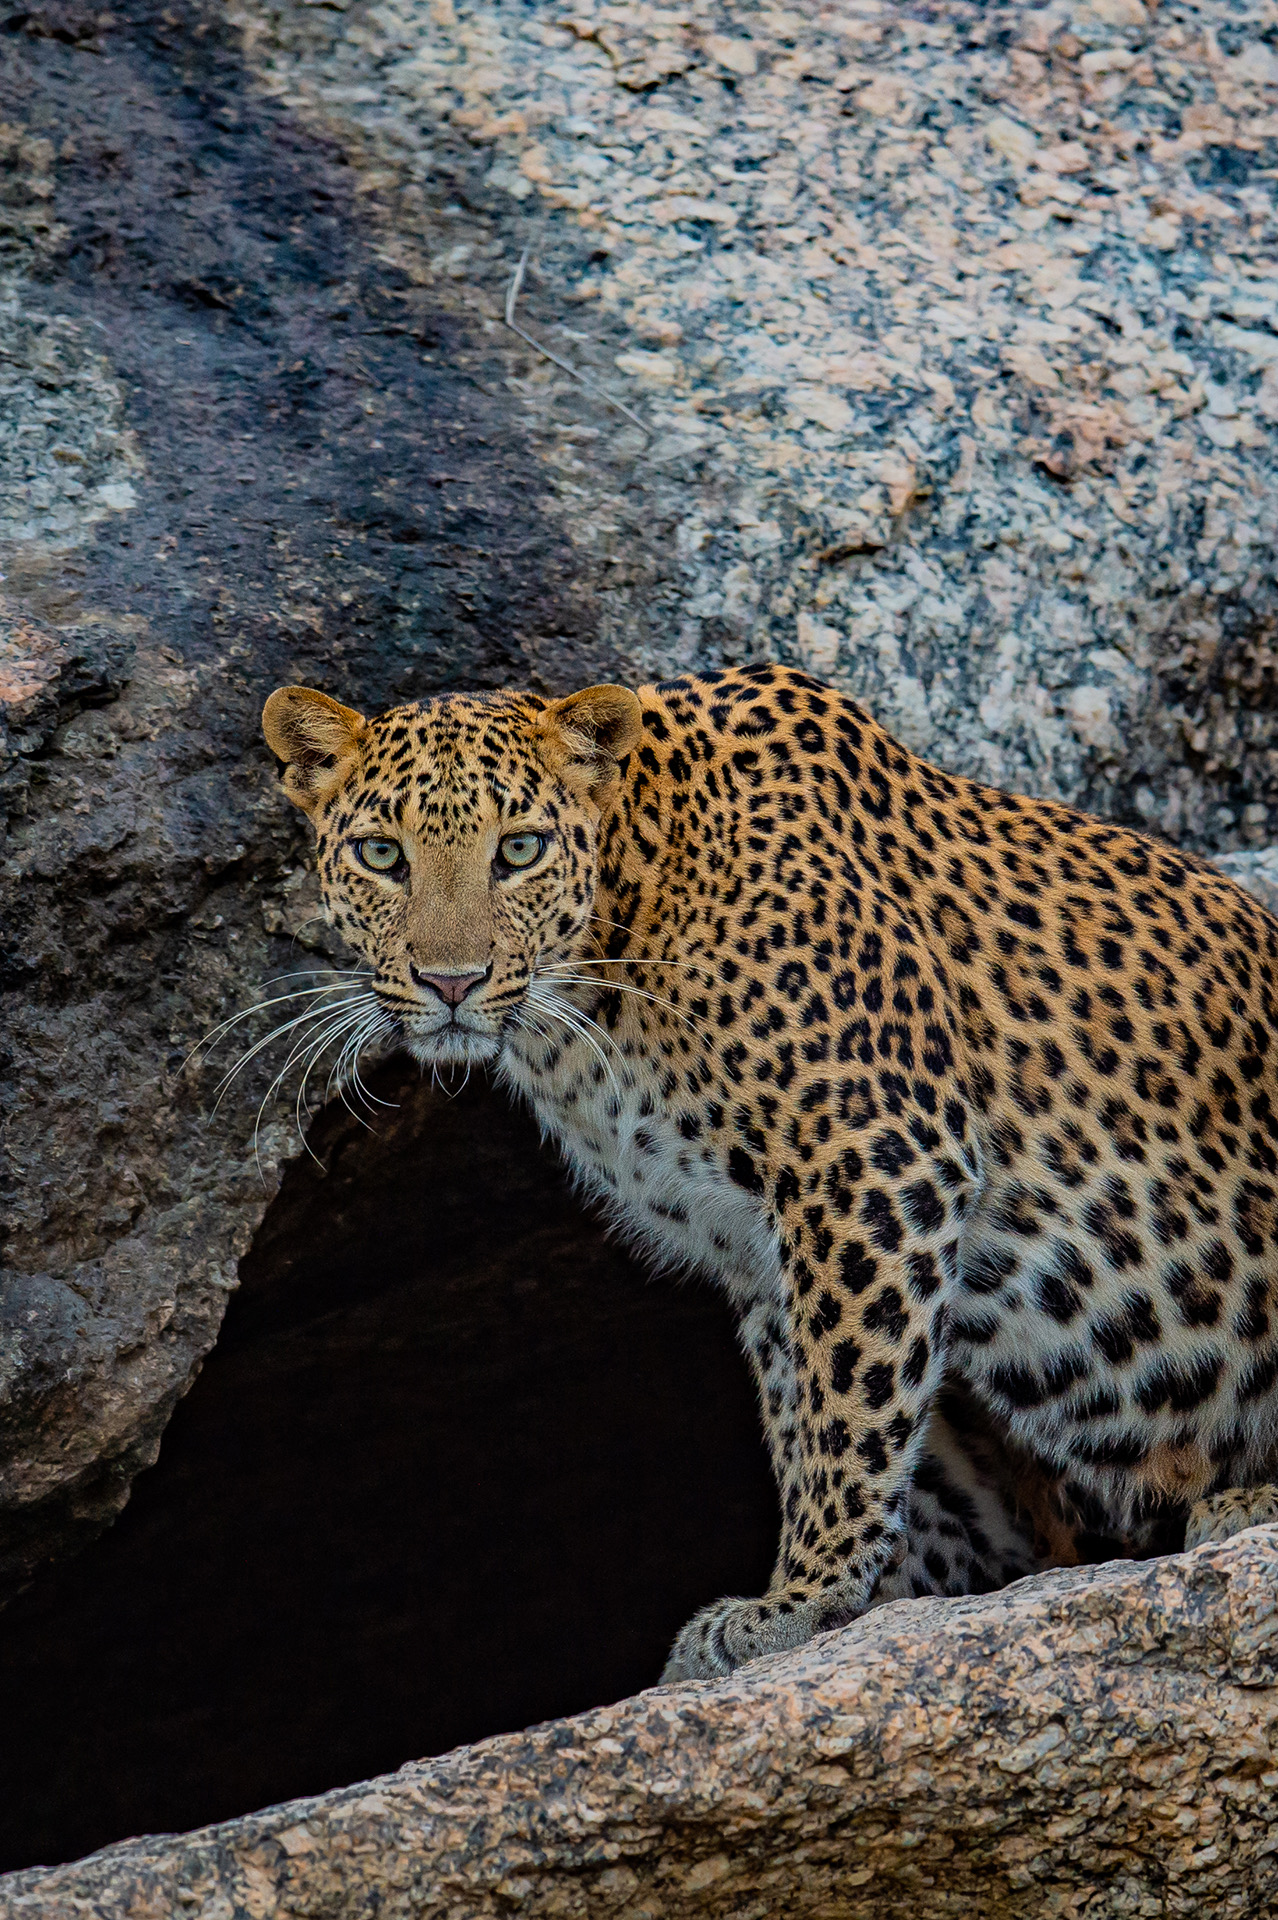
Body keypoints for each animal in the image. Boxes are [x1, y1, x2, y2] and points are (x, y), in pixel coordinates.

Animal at [262, 661, 1278, 1682]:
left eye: (519, 850)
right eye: (383, 855)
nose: (452, 983)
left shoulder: (875, 1155)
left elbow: (849, 1403)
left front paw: (805, 1597)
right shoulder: (755, 1243)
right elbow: (801, 1404)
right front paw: (840, 1594)